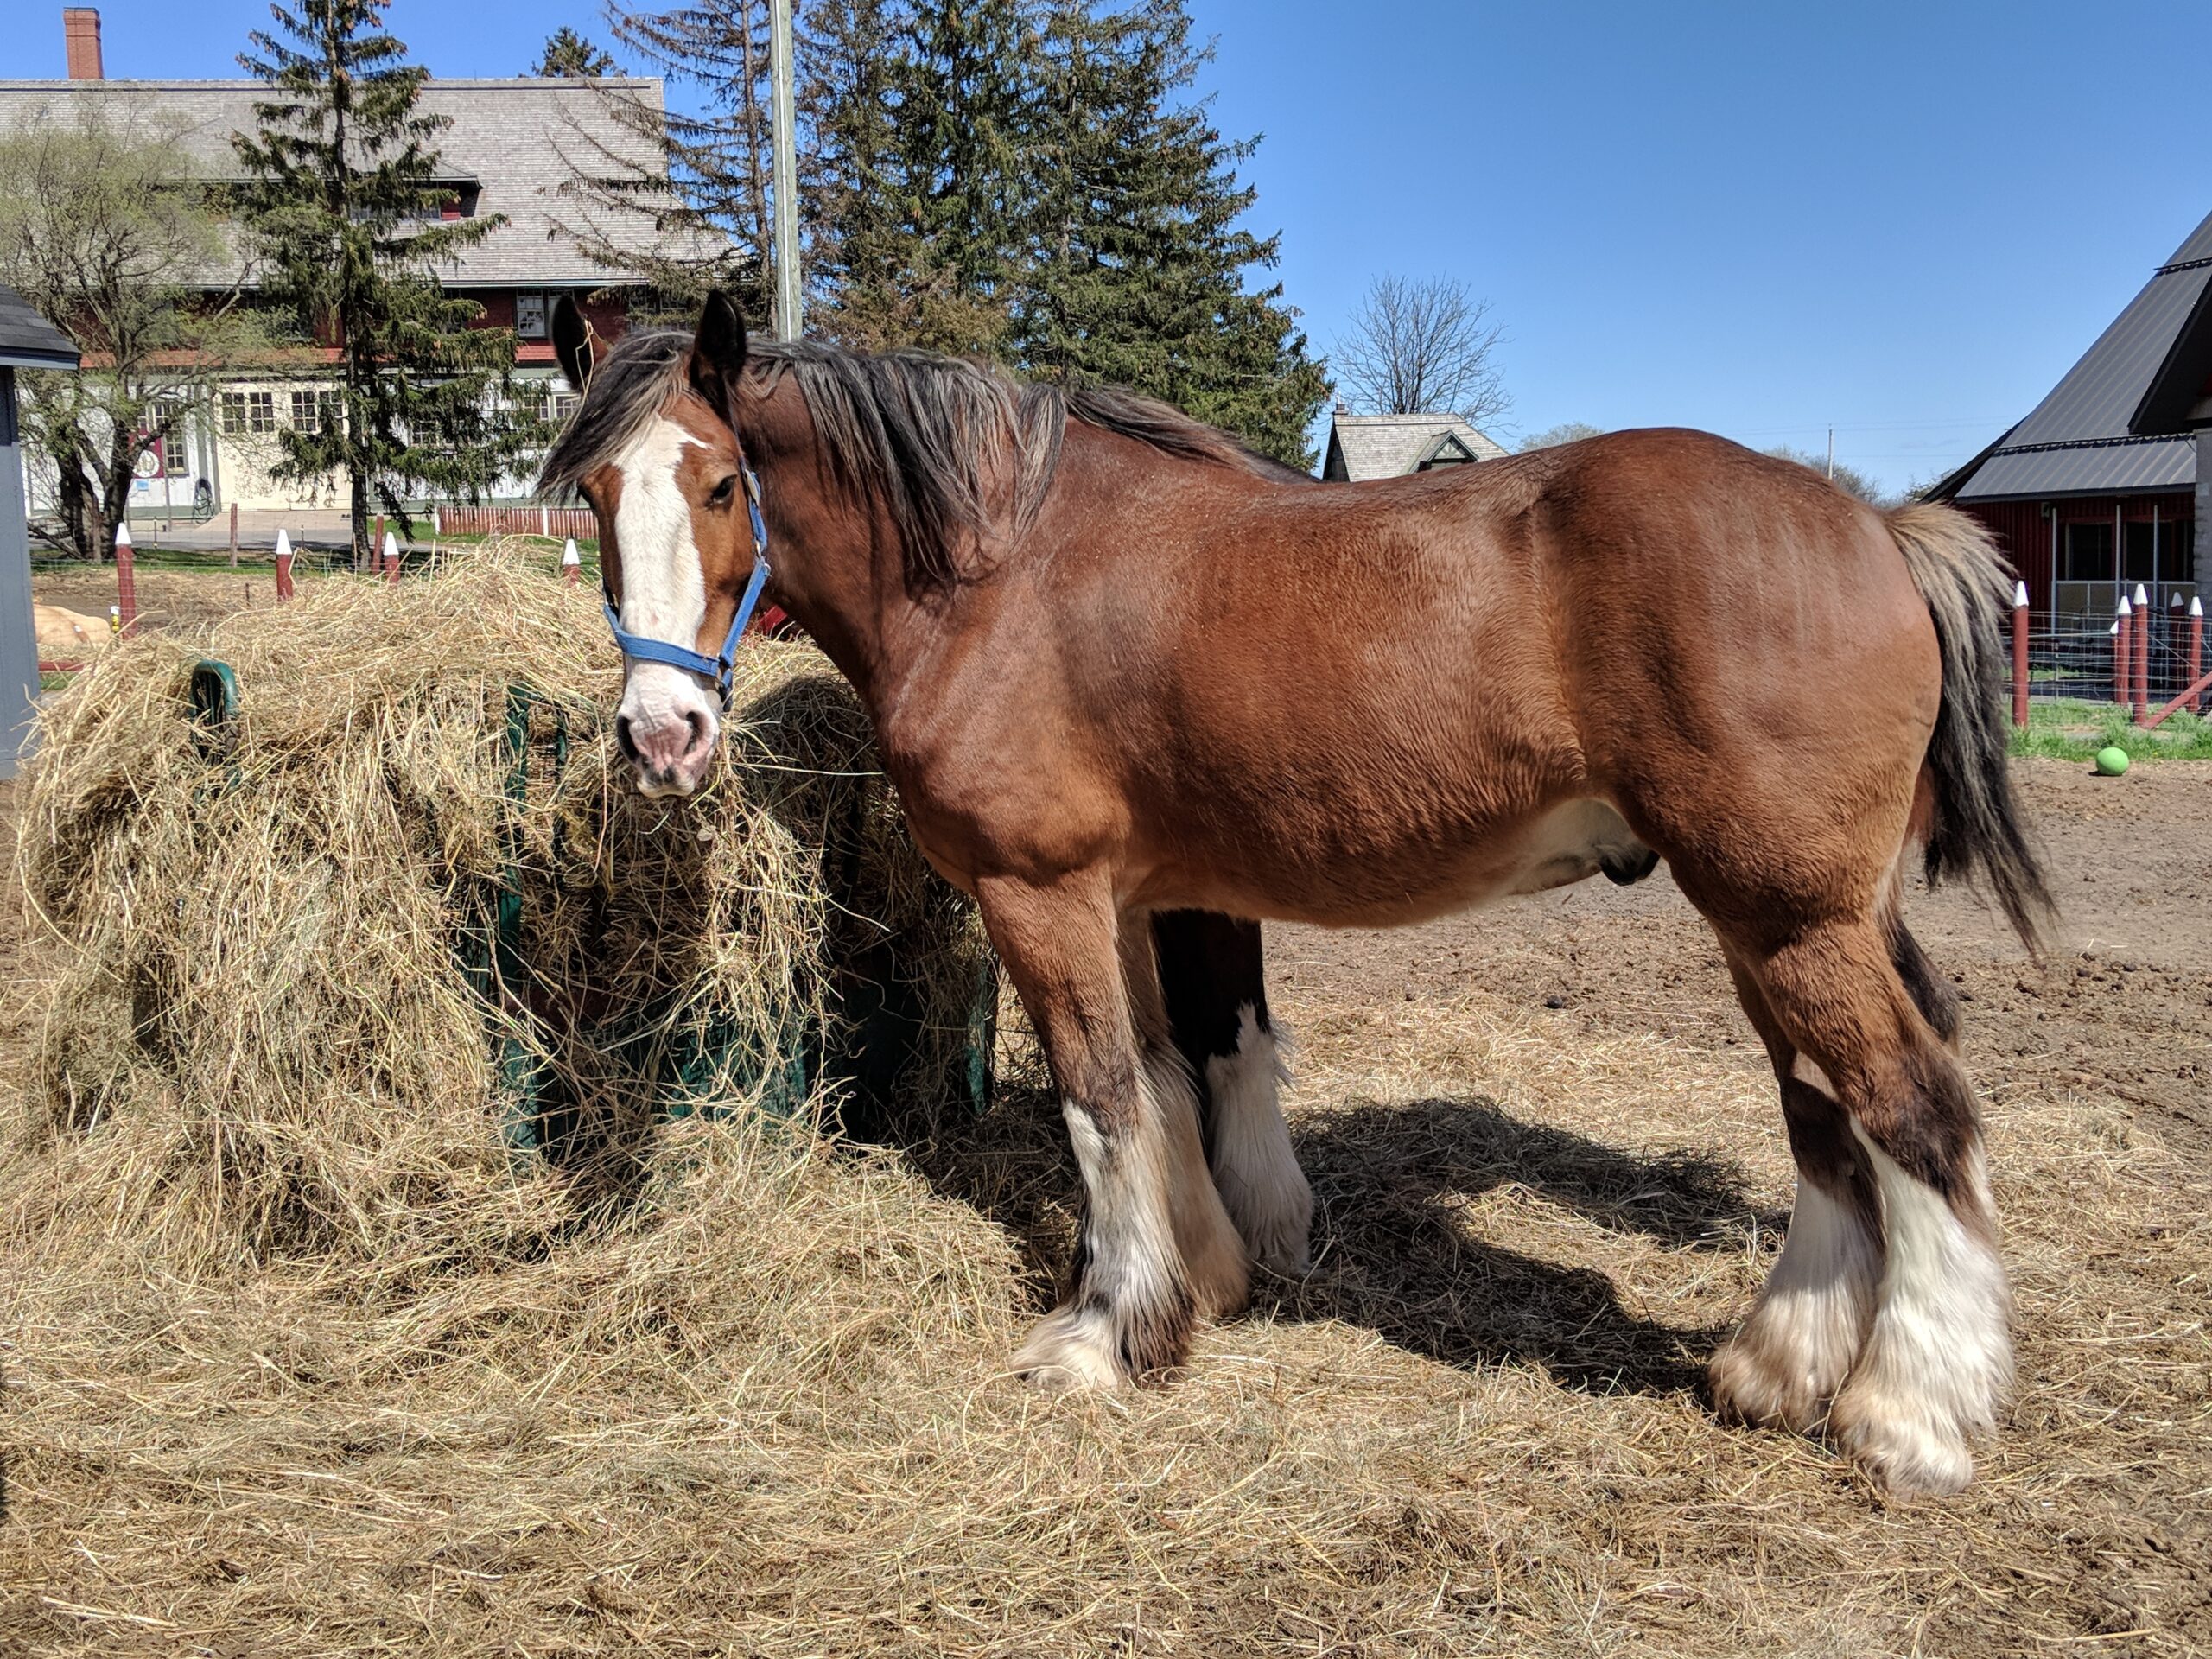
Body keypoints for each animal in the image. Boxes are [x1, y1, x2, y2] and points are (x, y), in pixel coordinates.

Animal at [539, 291, 2052, 1503]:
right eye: (596, 498)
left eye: (721, 486)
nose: (663, 735)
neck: (1002, 570)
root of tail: (1875, 524)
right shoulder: (1141, 898)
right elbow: (1167, 1079)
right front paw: (1204, 1283)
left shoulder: (1043, 898)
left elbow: (1101, 1104)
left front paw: (1107, 1334)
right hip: (1774, 924)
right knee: (1827, 1119)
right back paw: (1778, 1367)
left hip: (1790, 919)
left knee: (1915, 1114)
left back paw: (1910, 1417)